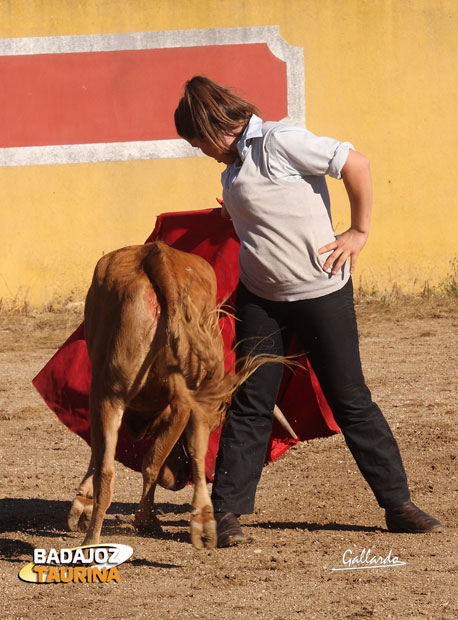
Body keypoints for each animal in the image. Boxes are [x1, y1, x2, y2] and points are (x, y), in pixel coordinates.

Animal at [65, 240, 288, 548]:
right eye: (219, 424)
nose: (177, 480)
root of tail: (156, 257)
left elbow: (110, 455)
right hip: (176, 398)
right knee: (180, 455)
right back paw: (199, 521)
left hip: (110, 394)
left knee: (108, 469)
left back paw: (94, 539)